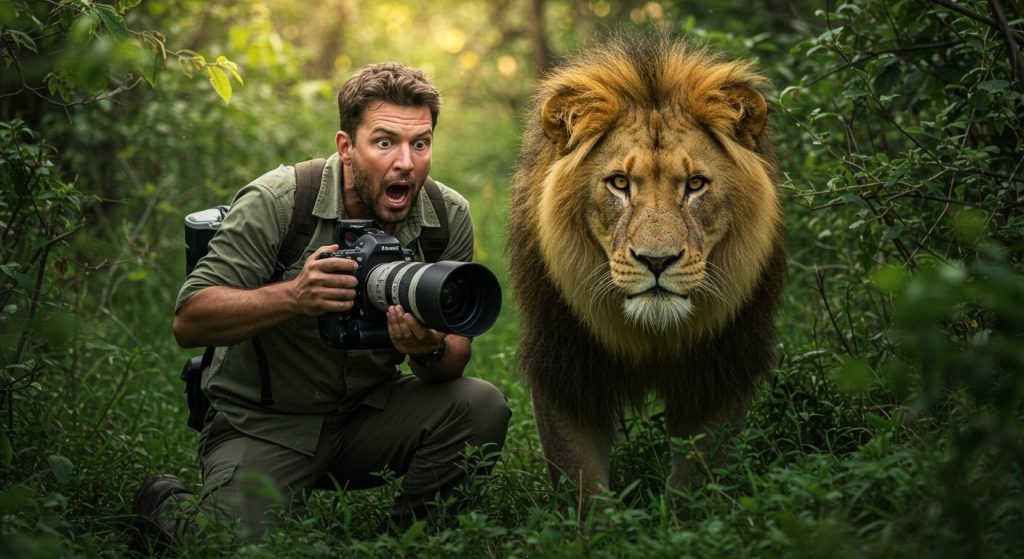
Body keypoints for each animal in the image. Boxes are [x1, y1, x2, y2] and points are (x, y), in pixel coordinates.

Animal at [507, 34, 787, 496]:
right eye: (620, 183)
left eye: (695, 185)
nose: (657, 260)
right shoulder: (564, 365)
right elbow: (580, 481)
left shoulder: (720, 369)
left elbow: (697, 475)